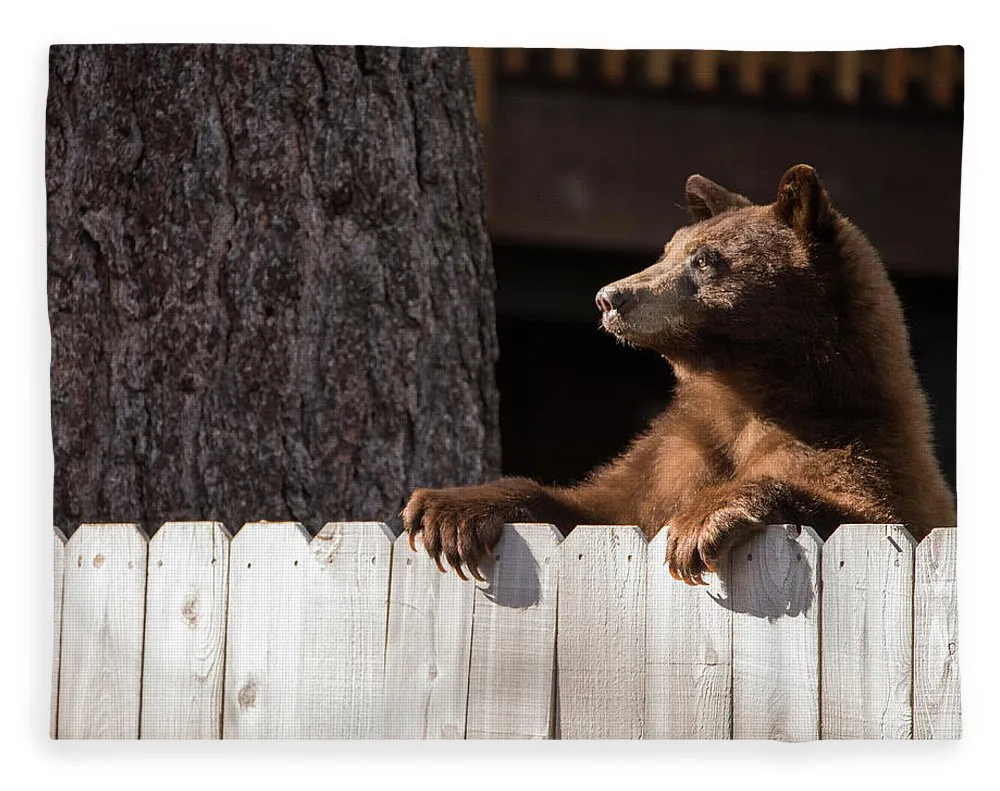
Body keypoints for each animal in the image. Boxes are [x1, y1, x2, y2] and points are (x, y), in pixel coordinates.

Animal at [402, 166, 956, 588]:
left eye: (705, 258)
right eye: (668, 249)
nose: (611, 297)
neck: (745, 393)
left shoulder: (857, 449)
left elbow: (862, 511)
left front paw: (700, 522)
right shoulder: (676, 451)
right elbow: (597, 505)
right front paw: (446, 510)